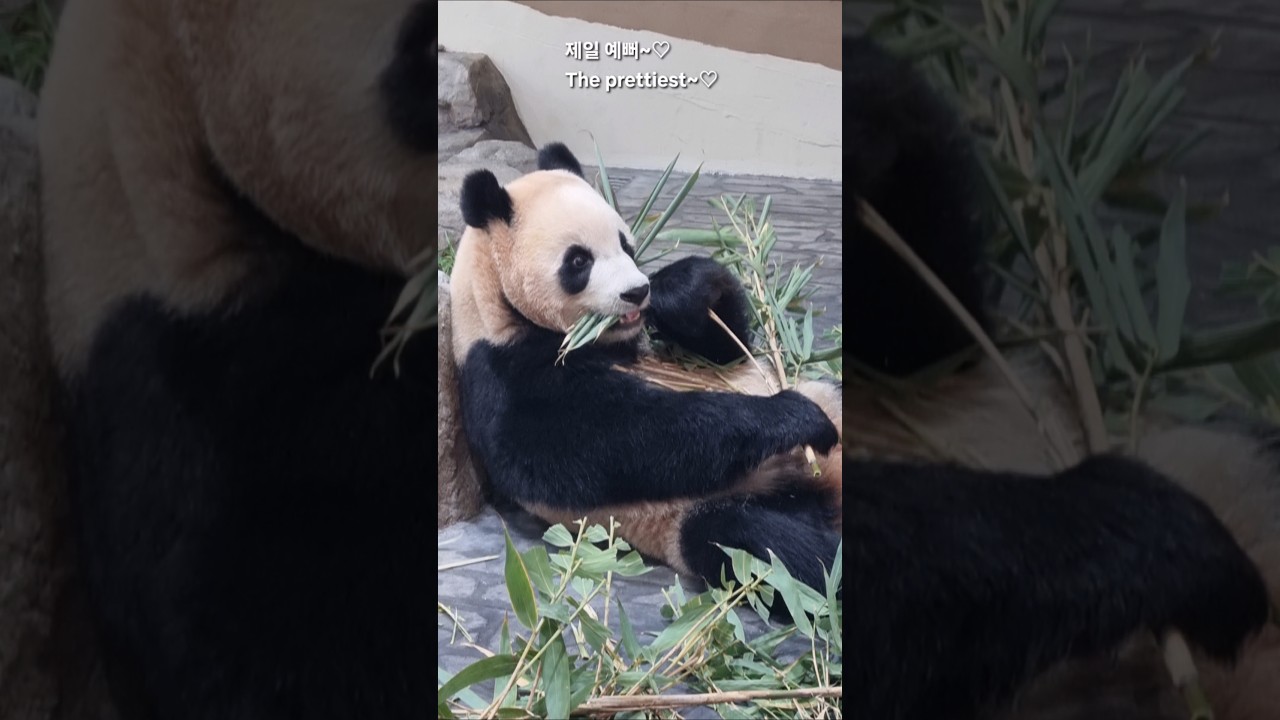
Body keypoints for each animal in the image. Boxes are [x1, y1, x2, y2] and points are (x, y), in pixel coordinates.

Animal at [449, 142, 846, 596]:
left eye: (626, 244)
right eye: (578, 261)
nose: (637, 291)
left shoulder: (642, 343)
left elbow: (724, 350)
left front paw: (683, 288)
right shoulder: (503, 376)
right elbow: (627, 436)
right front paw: (795, 417)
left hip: (832, 396)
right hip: (713, 512)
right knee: (769, 546)